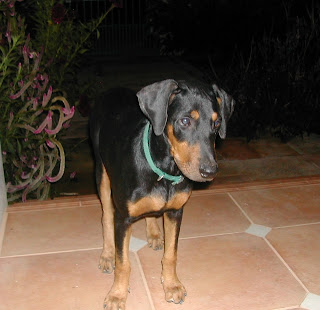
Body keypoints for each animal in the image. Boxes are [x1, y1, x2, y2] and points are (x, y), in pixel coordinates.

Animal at [90, 80, 235, 310]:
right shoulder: (123, 218)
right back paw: (107, 254)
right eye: (184, 121)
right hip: (101, 171)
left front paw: (172, 285)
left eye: (217, 123)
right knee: (106, 216)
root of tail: (112, 90)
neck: (165, 171)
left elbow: (171, 254)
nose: (209, 171)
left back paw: (155, 233)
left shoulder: (176, 211)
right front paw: (117, 295)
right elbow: (123, 262)